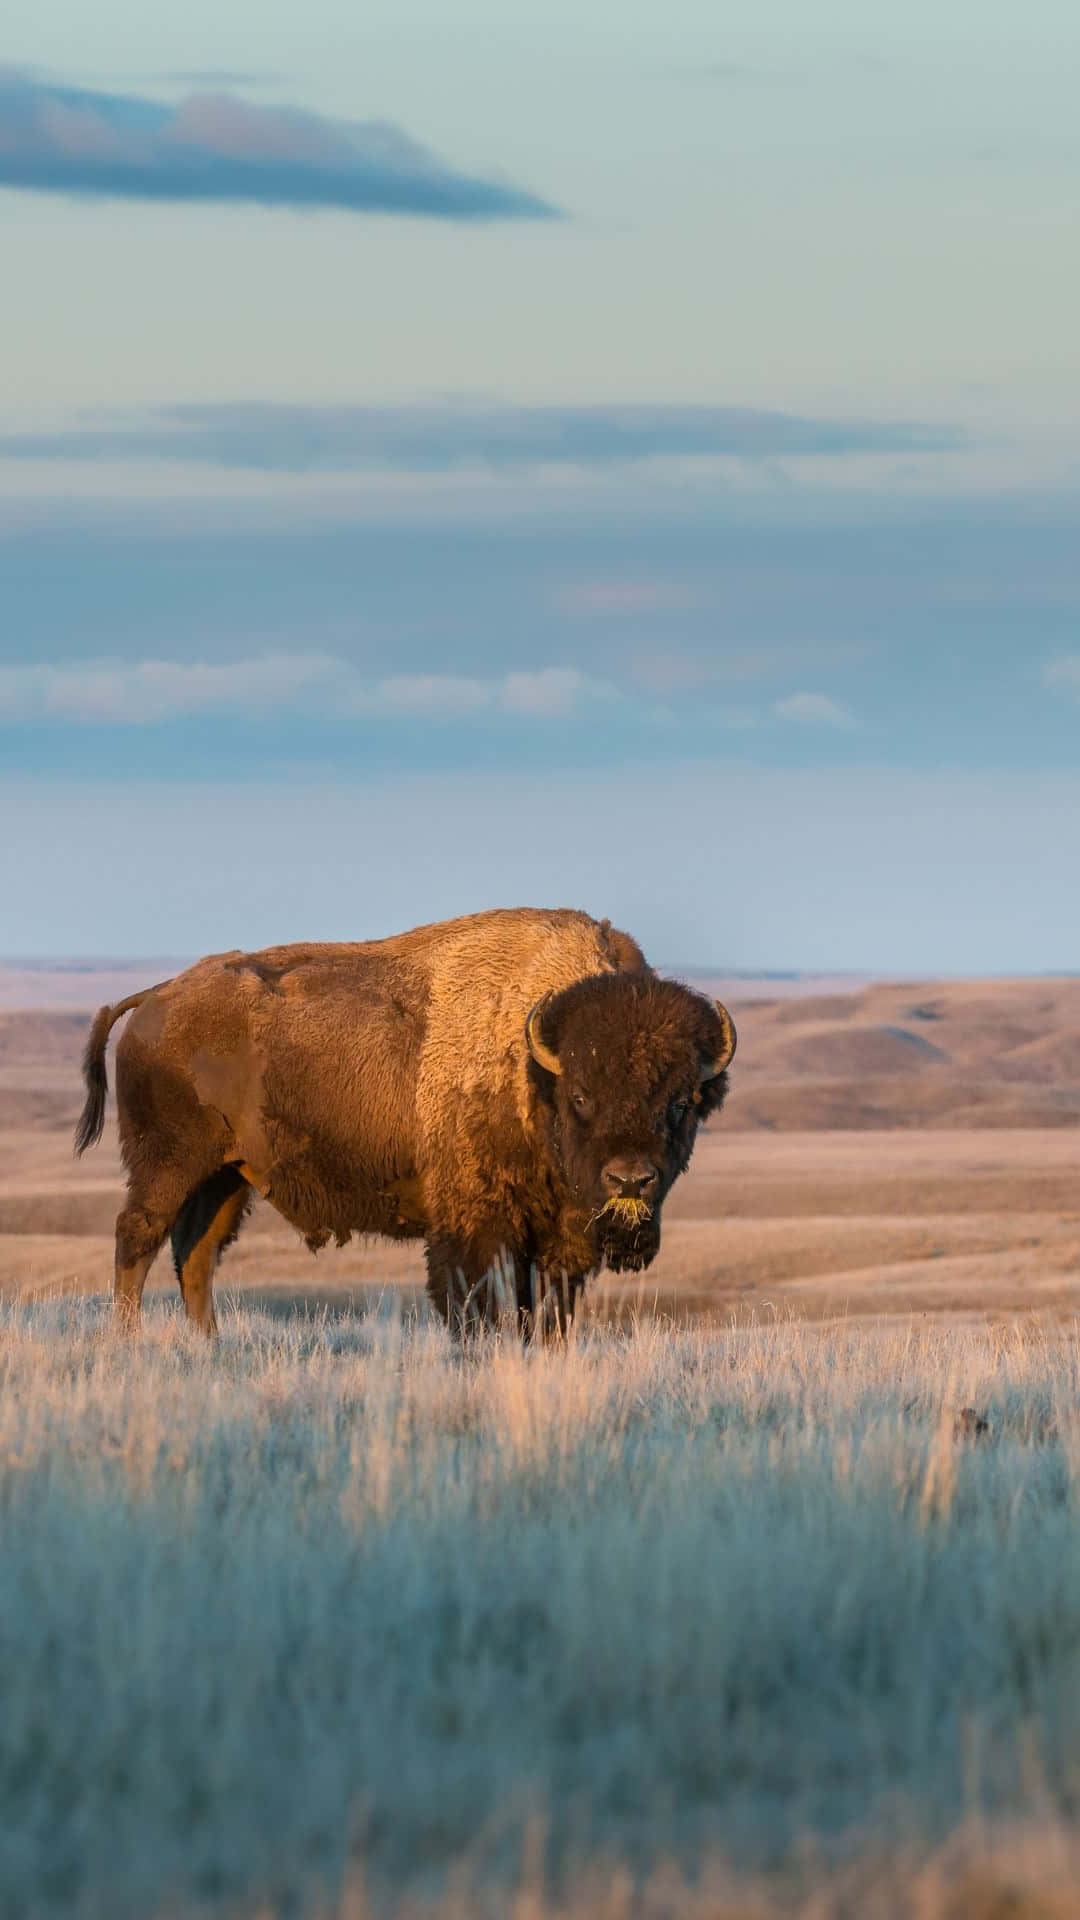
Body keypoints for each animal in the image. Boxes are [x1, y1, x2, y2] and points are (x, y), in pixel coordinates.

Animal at [75, 910, 730, 1336]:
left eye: (680, 1102)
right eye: (581, 1096)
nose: (630, 1180)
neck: (531, 1061)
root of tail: (155, 997)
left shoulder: (558, 1242)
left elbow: (546, 1314)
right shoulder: (477, 1227)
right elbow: (479, 1306)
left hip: (228, 1176)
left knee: (197, 1253)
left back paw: (210, 1349)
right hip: (168, 1164)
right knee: (137, 1238)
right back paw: (128, 1344)